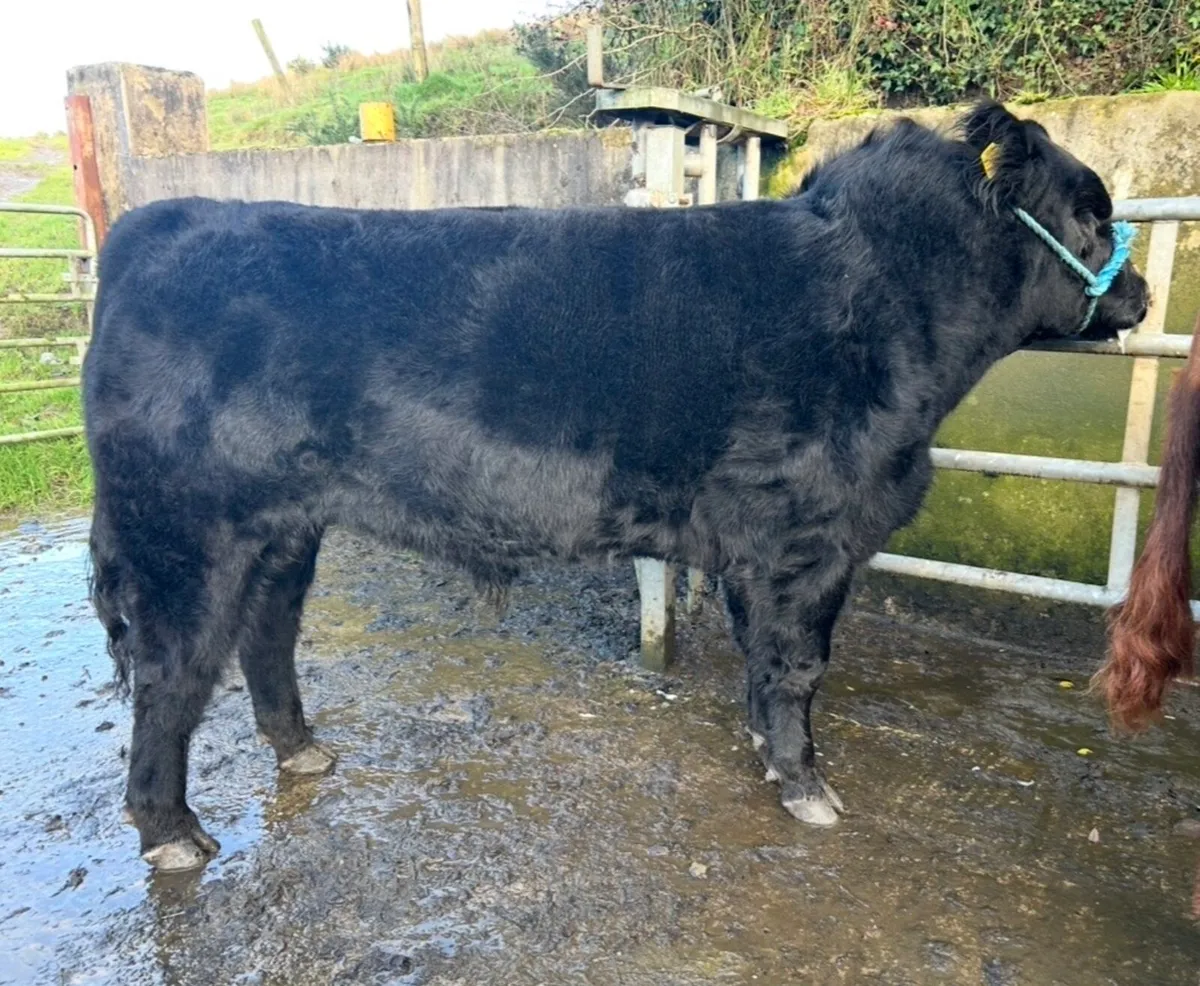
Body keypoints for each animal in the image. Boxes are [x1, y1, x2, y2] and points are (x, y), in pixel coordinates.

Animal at [84, 101, 1148, 871]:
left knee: (264, 635)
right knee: (174, 672)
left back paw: (301, 749)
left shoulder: (759, 546)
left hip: (284, 525)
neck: (885, 301)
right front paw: (808, 788)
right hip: (187, 530)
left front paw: (770, 757)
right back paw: (172, 834)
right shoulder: (806, 537)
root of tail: (151, 223)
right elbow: (799, 667)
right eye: (1091, 211)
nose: (1139, 295)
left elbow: (764, 665)